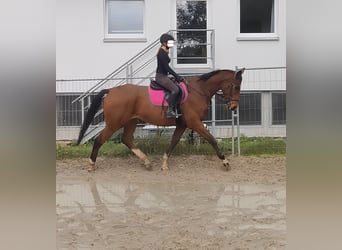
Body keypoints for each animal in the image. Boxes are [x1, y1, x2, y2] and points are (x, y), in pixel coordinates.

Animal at [76, 67, 244, 171]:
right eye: (235, 86)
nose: (234, 107)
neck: (198, 91)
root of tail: (111, 91)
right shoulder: (194, 122)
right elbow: (212, 139)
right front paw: (225, 161)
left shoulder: (182, 125)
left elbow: (173, 142)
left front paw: (164, 164)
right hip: (114, 123)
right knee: (99, 140)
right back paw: (91, 165)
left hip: (131, 121)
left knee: (127, 139)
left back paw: (146, 162)